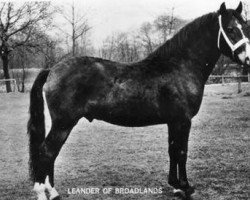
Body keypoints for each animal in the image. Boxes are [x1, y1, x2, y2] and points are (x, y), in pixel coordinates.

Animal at [27, 1, 250, 200]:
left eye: (245, 27)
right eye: (230, 29)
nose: (248, 59)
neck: (179, 67)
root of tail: (52, 69)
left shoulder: (173, 121)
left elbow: (172, 150)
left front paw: (175, 186)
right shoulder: (183, 121)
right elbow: (182, 151)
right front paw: (186, 187)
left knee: (50, 155)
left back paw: (53, 192)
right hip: (63, 124)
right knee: (46, 152)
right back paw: (43, 193)